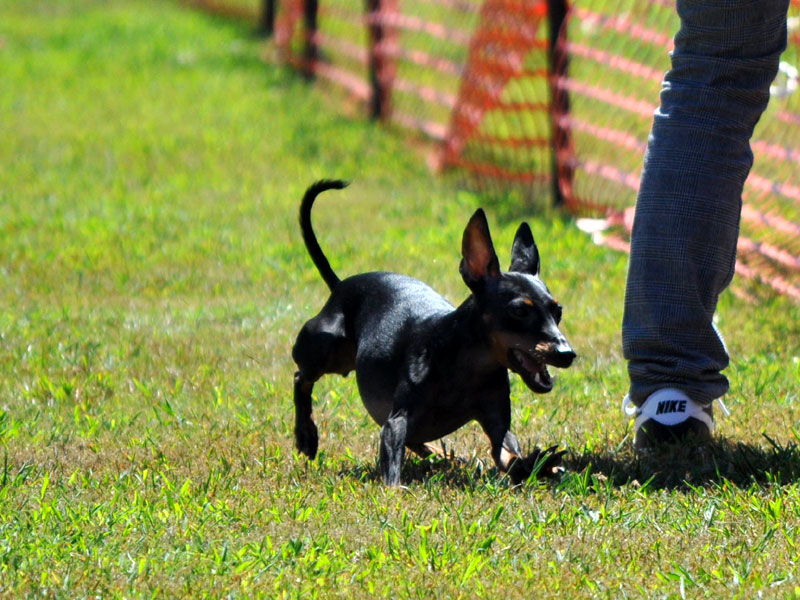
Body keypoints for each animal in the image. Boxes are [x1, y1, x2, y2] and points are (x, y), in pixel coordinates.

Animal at [292, 180, 575, 485]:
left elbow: (509, 456)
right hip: (324, 348)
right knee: (301, 377)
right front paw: (395, 491)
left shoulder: (498, 425)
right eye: (520, 310)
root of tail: (340, 285)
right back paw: (306, 435)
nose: (567, 353)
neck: (468, 365)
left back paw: (441, 455)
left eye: (558, 311)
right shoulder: (395, 422)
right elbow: (392, 465)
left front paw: (540, 464)